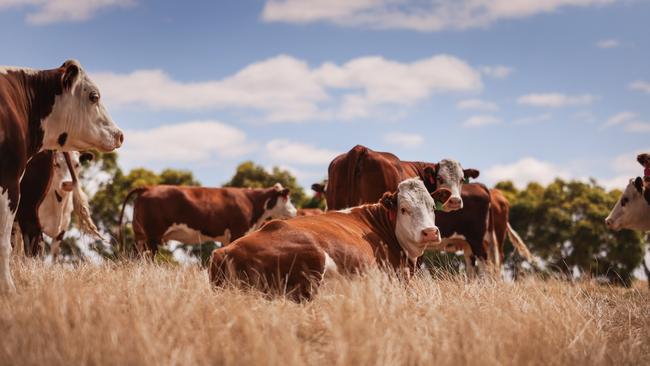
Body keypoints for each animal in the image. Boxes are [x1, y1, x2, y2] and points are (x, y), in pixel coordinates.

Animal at [119, 183, 296, 254]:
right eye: (286, 198)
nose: (295, 211)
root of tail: (147, 188)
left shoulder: (226, 238)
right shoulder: (237, 231)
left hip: (140, 235)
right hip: (153, 236)